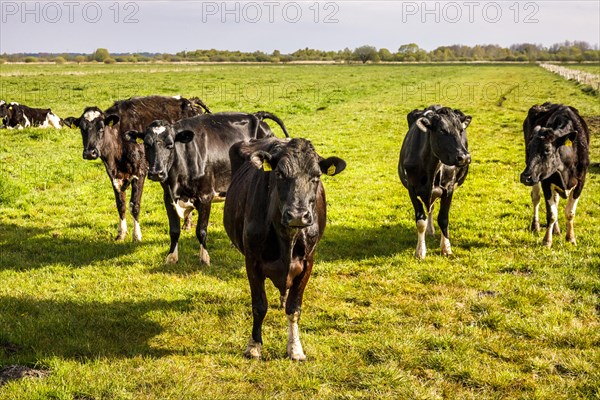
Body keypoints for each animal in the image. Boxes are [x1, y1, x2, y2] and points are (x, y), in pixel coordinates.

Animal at [65, 95, 209, 242]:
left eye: (101, 128)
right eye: (82, 129)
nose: (90, 153)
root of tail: (190, 101)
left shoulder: (139, 173)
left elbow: (134, 205)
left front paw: (137, 235)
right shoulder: (113, 175)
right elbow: (120, 204)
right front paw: (121, 233)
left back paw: (187, 223)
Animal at [125, 111, 290, 266]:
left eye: (170, 144)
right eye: (146, 144)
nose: (156, 172)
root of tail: (257, 116)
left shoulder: (205, 196)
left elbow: (201, 230)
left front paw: (204, 258)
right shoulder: (168, 198)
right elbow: (174, 230)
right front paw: (171, 257)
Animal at [224, 136, 346, 360]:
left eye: (317, 176)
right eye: (279, 174)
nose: (298, 215)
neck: (286, 240)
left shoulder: (308, 262)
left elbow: (294, 307)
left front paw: (295, 348)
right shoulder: (252, 261)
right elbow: (259, 306)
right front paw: (254, 345)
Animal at [398, 104, 474, 260]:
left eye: (461, 130)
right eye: (442, 130)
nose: (464, 157)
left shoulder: (449, 188)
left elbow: (443, 219)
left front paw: (446, 248)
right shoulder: (411, 188)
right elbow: (420, 220)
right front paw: (420, 251)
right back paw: (429, 230)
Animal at [520, 102, 592, 247]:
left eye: (547, 150)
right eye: (529, 149)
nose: (525, 177)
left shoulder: (581, 181)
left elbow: (570, 212)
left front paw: (571, 238)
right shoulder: (545, 181)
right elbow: (551, 214)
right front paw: (547, 241)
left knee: (556, 201)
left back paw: (557, 230)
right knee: (536, 198)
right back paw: (535, 226)